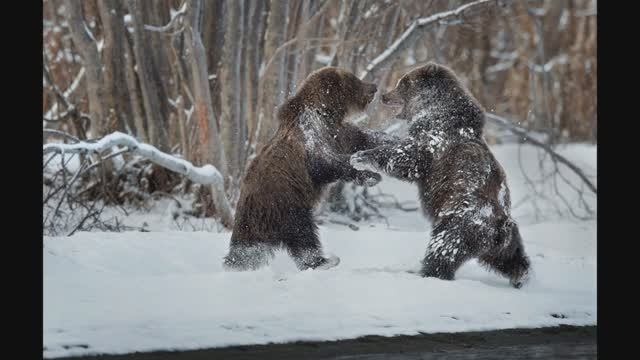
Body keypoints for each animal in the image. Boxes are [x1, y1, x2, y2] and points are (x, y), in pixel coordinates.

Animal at [224, 66, 396, 272]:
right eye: (355, 80)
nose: (374, 87)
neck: (327, 112)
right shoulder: (311, 136)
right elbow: (328, 162)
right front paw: (371, 176)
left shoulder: (338, 133)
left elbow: (360, 137)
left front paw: (391, 140)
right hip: (287, 204)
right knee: (303, 234)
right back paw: (323, 261)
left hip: (254, 224)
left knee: (248, 249)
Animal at [350, 61, 528, 286]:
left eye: (403, 82)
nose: (384, 95)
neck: (436, 113)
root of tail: (499, 228)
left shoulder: (434, 142)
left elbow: (407, 159)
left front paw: (360, 157)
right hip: (502, 240)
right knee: (511, 256)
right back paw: (521, 276)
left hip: (459, 221)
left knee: (443, 249)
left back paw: (427, 273)